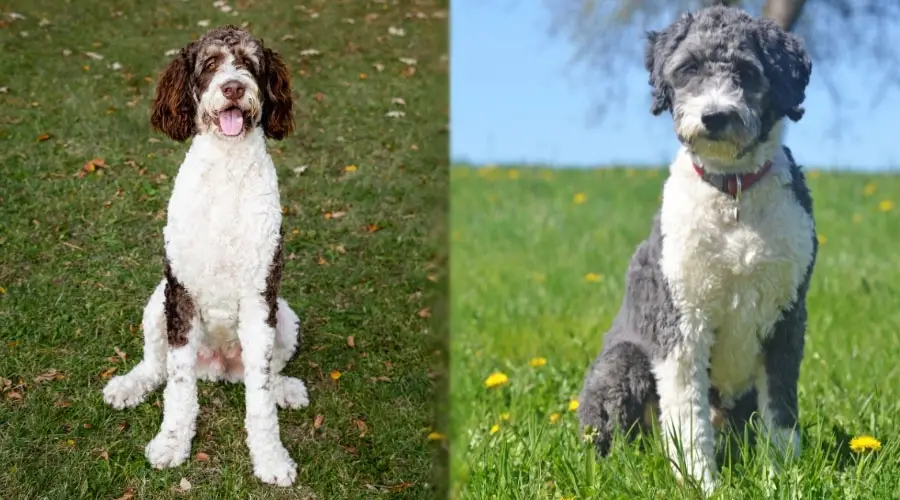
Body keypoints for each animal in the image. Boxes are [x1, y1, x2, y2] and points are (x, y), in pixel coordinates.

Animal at [101, 26, 306, 484]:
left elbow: (259, 395)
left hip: (284, 316)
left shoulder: (259, 298)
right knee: (156, 367)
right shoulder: (181, 295)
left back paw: (285, 388)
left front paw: (270, 458)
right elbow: (178, 385)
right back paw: (128, 385)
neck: (227, 174)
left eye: (249, 63)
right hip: (155, 305)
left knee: (268, 372)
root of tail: (217, 366)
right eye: (210, 63)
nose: (233, 87)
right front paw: (172, 443)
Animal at [580, 5, 820, 494]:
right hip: (623, 364)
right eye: (689, 68)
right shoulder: (682, 321)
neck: (733, 196)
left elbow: (781, 412)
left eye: (747, 72)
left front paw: (782, 478)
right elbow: (689, 420)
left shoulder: (787, 317)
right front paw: (701, 484)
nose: (715, 116)